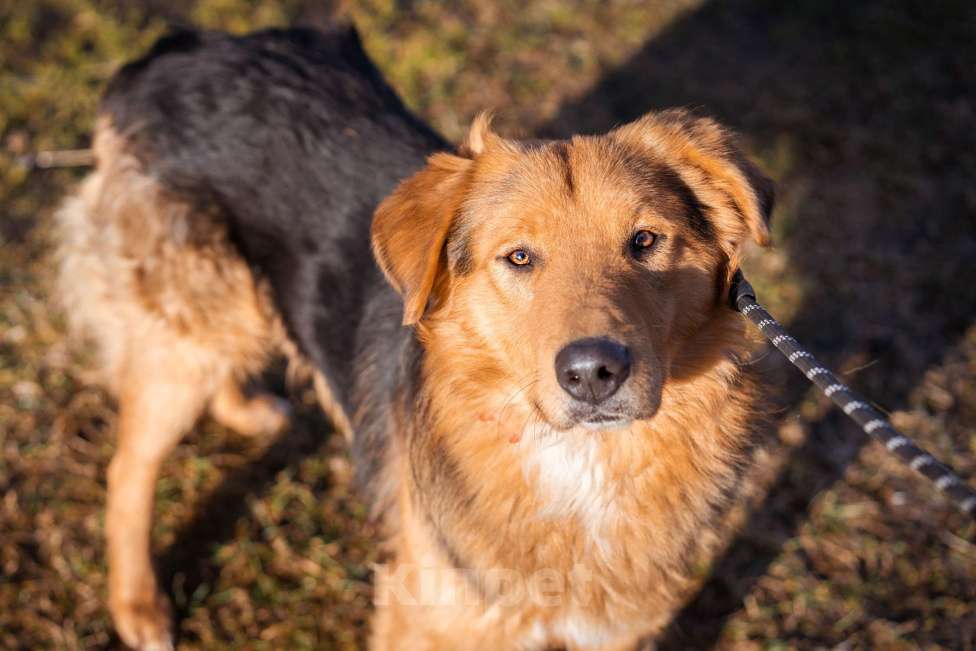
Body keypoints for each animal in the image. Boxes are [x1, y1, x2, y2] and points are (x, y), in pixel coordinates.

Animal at [57, 21, 776, 651]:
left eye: (646, 241)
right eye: (519, 258)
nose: (593, 372)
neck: (575, 463)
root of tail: (178, 50)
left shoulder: (614, 629)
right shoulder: (426, 619)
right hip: (186, 334)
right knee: (128, 468)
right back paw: (138, 607)